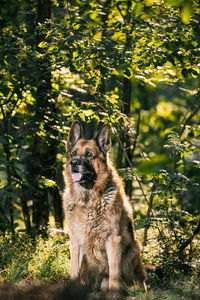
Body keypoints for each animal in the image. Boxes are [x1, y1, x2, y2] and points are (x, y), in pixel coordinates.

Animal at [63, 120, 146, 292]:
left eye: (89, 154)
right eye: (74, 153)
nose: (74, 163)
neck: (88, 199)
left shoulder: (113, 240)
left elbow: (114, 273)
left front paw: (113, 294)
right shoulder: (76, 240)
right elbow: (74, 270)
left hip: (134, 249)